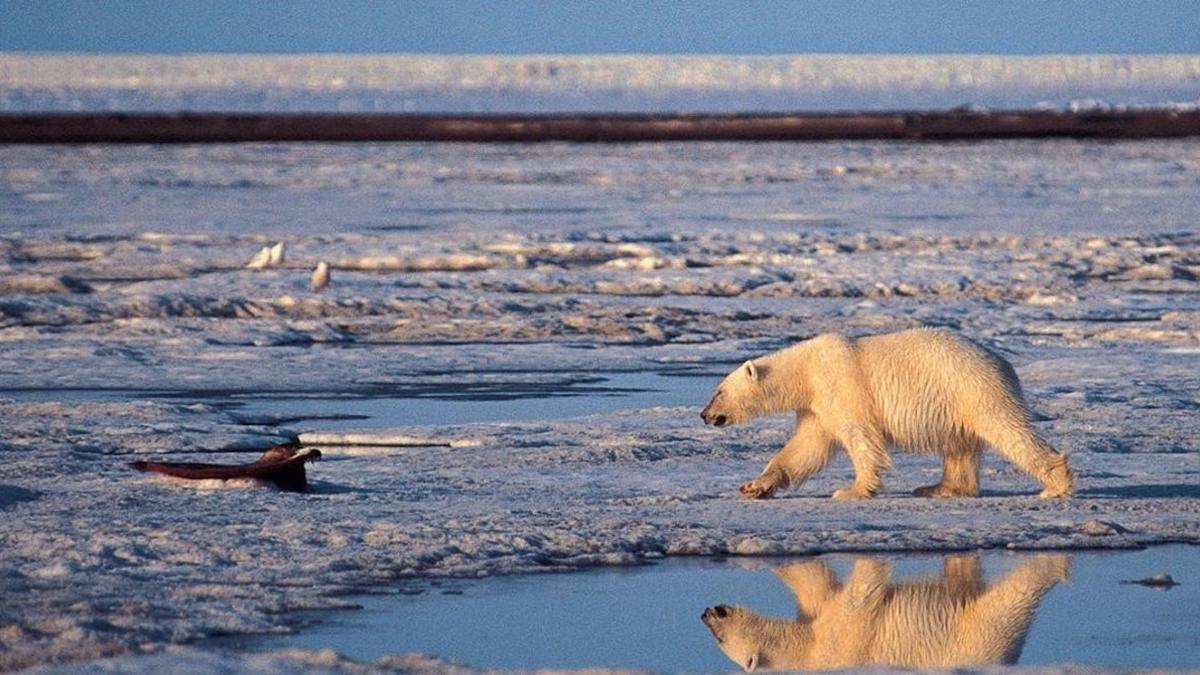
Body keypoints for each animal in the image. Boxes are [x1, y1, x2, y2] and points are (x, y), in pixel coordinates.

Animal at [700, 329, 1075, 497]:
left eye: (718, 391)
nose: (704, 414)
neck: (805, 370)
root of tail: (1004, 363)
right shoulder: (816, 407)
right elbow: (805, 448)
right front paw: (754, 485)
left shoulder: (842, 387)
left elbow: (860, 437)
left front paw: (851, 491)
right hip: (958, 401)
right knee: (960, 446)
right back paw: (938, 488)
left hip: (972, 388)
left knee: (1007, 429)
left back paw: (1054, 484)